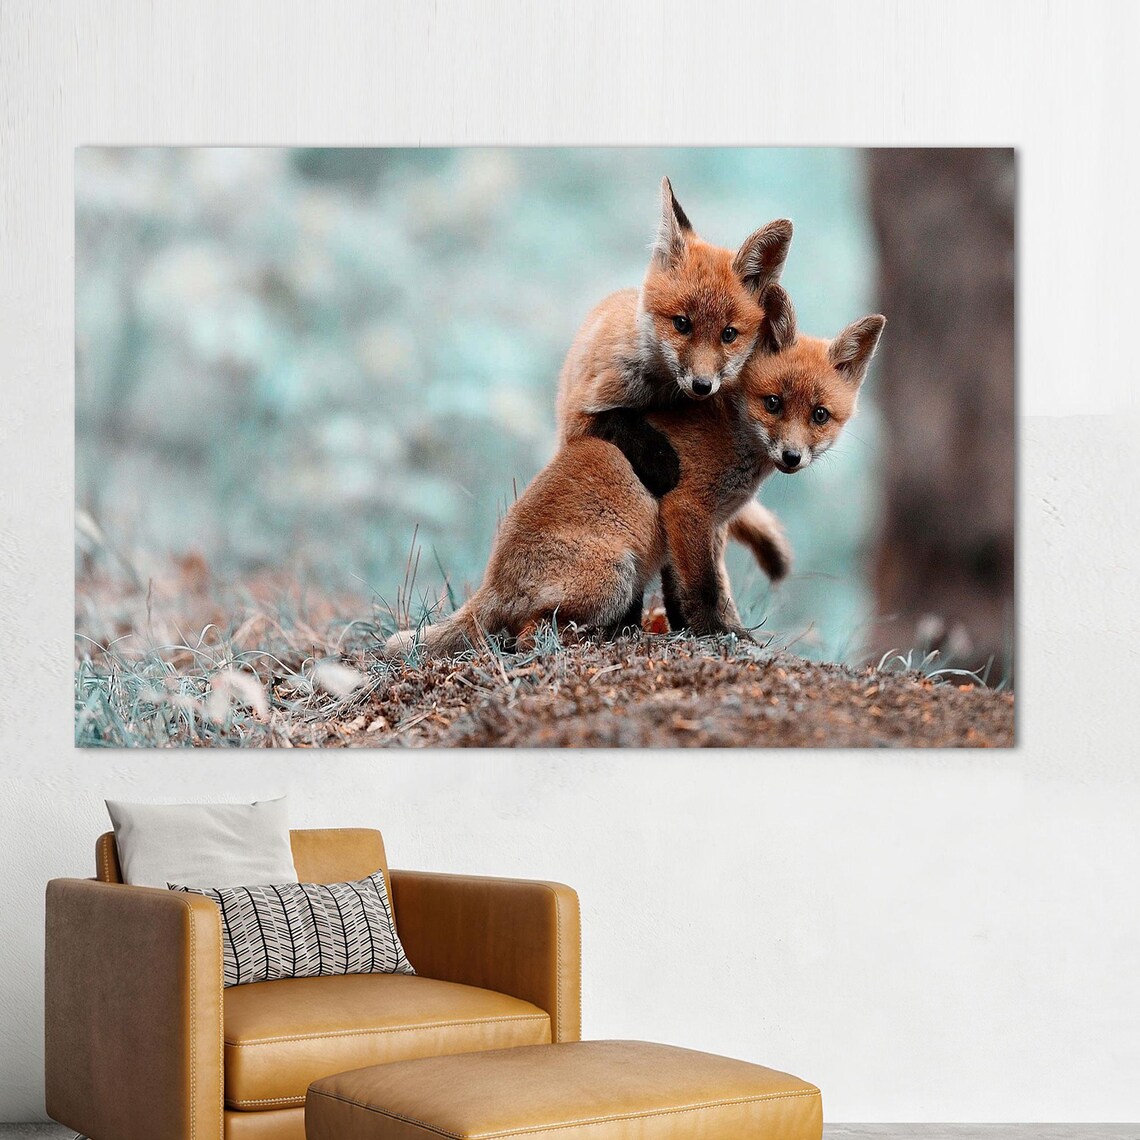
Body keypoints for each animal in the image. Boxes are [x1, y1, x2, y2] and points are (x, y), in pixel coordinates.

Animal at [385, 287, 885, 657]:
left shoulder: (709, 526)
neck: (733, 431)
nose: (792, 457)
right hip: (616, 576)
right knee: (526, 636)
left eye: (819, 415)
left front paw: (707, 630)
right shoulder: (686, 509)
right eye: (774, 403)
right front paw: (719, 635)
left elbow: (694, 591)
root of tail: (493, 579)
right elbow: (703, 590)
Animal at [557, 177, 796, 583]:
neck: (659, 393)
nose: (702, 385)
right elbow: (618, 421)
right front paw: (661, 460)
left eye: (728, 335)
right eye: (682, 324)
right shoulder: (581, 417)